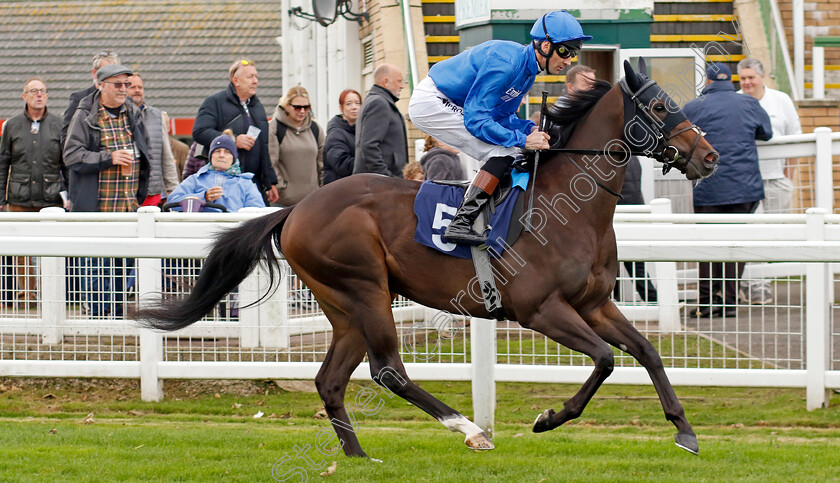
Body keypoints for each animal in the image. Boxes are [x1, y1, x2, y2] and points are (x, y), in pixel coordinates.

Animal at [135, 60, 720, 458]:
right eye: (663, 107)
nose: (710, 156)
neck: (569, 211)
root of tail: (296, 208)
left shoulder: (595, 304)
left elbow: (646, 351)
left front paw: (685, 430)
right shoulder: (541, 310)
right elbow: (603, 359)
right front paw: (549, 417)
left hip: (346, 306)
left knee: (332, 380)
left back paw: (358, 455)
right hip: (365, 289)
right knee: (388, 371)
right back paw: (471, 430)